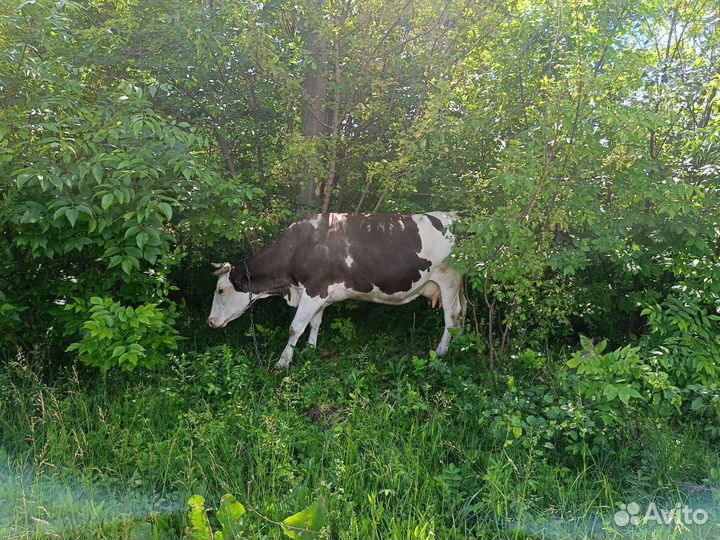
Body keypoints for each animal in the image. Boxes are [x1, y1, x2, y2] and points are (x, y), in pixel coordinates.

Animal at [207, 212, 466, 371]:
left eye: (220, 290)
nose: (210, 322)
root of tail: (456, 216)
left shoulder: (314, 289)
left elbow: (295, 327)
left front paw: (282, 362)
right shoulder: (320, 294)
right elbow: (314, 323)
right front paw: (310, 350)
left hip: (448, 280)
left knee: (452, 318)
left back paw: (441, 351)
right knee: (461, 314)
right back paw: (460, 345)